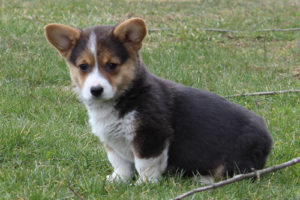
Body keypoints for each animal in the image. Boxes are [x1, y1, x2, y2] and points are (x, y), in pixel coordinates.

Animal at [44, 18, 272, 184]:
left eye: (111, 65)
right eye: (83, 66)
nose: (96, 90)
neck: (125, 97)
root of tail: (267, 137)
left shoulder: (150, 136)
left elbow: (145, 164)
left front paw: (144, 185)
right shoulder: (112, 142)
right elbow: (120, 164)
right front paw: (117, 180)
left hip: (236, 160)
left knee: (237, 174)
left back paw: (203, 179)